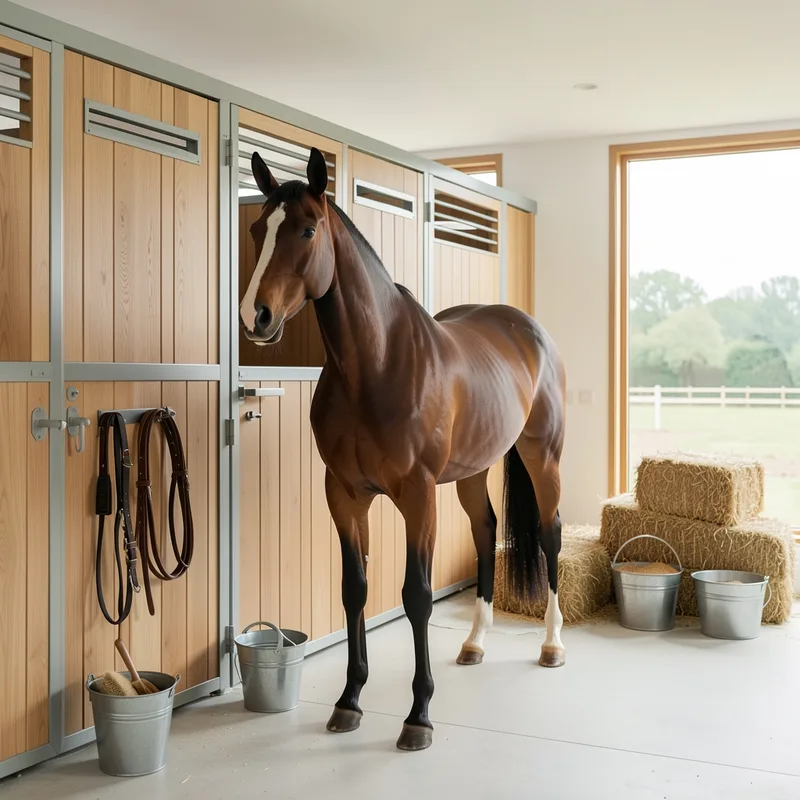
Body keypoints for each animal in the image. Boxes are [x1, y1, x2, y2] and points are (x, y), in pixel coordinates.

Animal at [239, 147, 566, 752]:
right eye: (257, 230)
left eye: (307, 229)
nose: (257, 317)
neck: (377, 363)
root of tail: (527, 328)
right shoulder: (345, 494)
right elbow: (355, 589)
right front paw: (349, 701)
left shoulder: (418, 496)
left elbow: (416, 595)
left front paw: (419, 716)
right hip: (472, 471)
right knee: (485, 533)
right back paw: (474, 643)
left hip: (543, 457)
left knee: (549, 535)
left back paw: (553, 645)